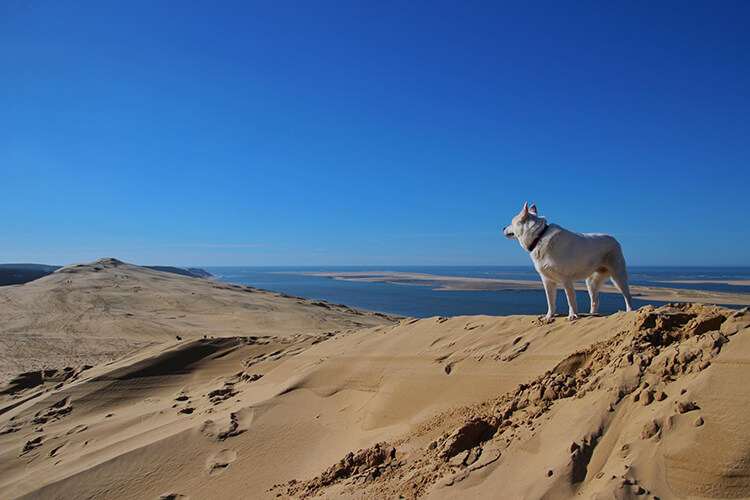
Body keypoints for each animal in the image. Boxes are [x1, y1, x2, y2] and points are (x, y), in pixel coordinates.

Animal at [506, 202, 636, 320]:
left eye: (511, 223)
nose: (503, 228)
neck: (540, 236)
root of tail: (615, 240)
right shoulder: (547, 280)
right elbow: (550, 301)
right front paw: (549, 316)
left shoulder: (566, 279)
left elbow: (570, 299)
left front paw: (573, 315)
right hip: (591, 282)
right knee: (595, 300)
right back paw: (592, 314)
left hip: (618, 277)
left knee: (628, 296)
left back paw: (629, 312)